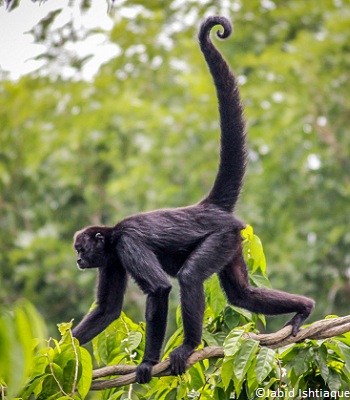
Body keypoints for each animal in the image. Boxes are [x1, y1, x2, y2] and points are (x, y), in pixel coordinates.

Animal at [71, 16, 314, 384]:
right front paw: (54, 349)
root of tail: (207, 208)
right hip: (233, 242)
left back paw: (188, 347)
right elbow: (107, 310)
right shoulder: (112, 258)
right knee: (243, 293)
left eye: (81, 248)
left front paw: (147, 362)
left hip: (220, 237)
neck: (112, 236)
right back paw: (304, 307)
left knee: (189, 277)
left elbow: (159, 289)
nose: (78, 260)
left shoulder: (127, 244)